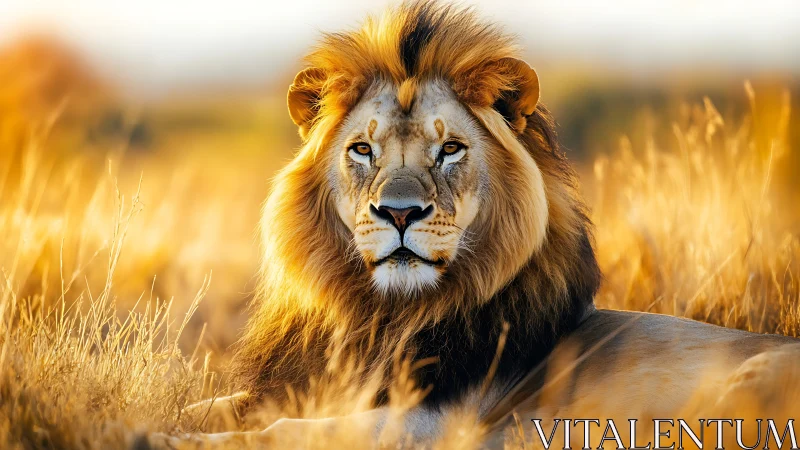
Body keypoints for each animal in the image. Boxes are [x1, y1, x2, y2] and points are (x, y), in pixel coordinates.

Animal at [160, 1, 800, 448]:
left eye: (450, 150)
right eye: (363, 150)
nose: (399, 212)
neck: (383, 317)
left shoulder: (435, 422)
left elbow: (286, 430)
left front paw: (171, 438)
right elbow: (221, 403)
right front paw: (161, 418)